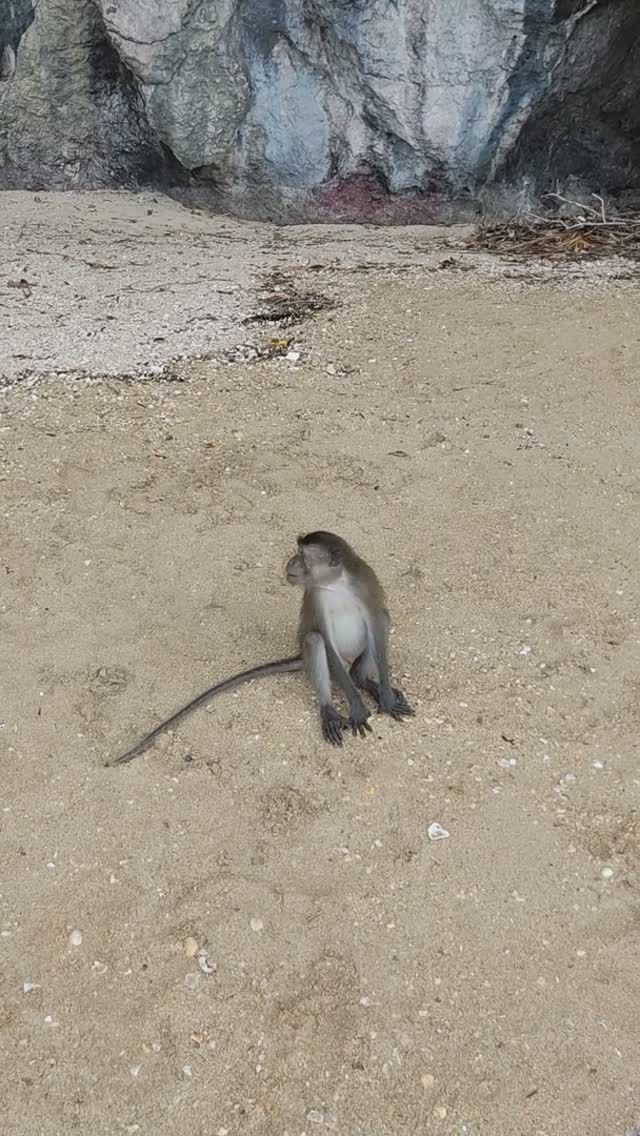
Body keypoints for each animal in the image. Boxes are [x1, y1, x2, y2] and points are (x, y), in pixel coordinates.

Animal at [107, 529, 413, 763]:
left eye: (303, 556)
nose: (290, 562)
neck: (335, 584)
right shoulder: (315, 597)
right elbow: (324, 637)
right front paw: (357, 709)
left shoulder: (366, 582)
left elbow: (377, 622)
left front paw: (385, 697)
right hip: (321, 656)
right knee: (316, 642)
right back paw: (330, 709)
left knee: (377, 630)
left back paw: (366, 682)